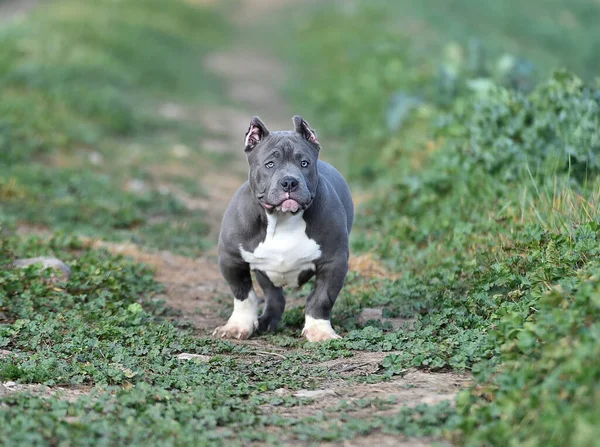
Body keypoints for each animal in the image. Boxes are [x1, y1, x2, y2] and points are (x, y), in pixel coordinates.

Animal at [213, 115, 352, 344]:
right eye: (270, 164)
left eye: (304, 163)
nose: (289, 182)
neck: (282, 218)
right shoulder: (231, 260)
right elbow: (244, 295)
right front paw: (237, 326)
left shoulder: (334, 262)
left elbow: (321, 298)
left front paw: (320, 331)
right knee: (274, 296)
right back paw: (266, 322)